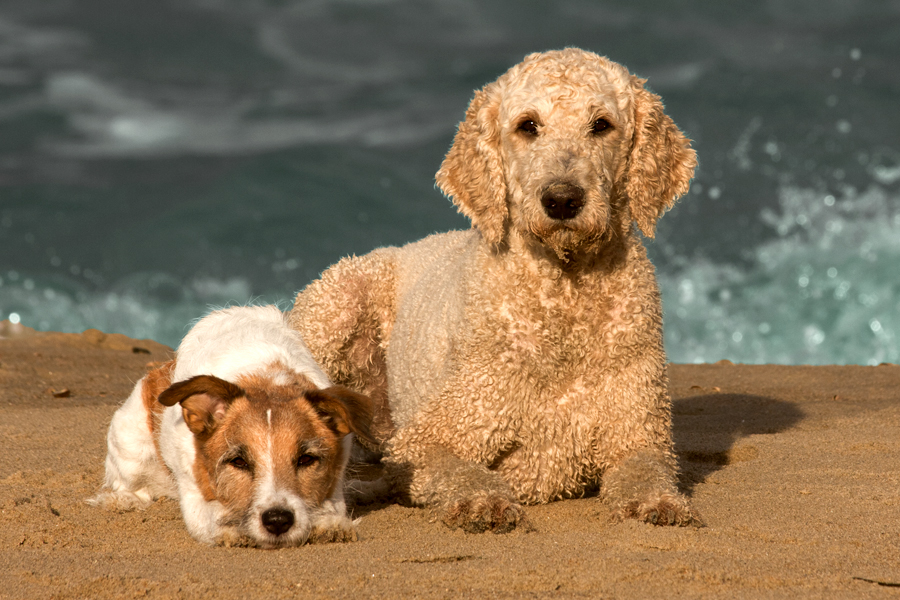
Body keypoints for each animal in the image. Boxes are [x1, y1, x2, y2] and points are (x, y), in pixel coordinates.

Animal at [89, 308, 374, 548]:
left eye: (306, 459)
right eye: (238, 462)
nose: (278, 521)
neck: (266, 378)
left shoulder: (336, 482)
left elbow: (331, 507)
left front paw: (330, 524)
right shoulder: (194, 495)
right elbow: (210, 514)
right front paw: (231, 528)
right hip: (132, 445)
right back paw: (122, 500)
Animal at [292, 49, 700, 532]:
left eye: (601, 124)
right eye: (528, 125)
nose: (562, 200)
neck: (564, 294)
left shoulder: (638, 432)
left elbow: (646, 469)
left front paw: (659, 502)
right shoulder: (430, 437)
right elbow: (456, 469)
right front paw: (482, 500)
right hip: (336, 303)